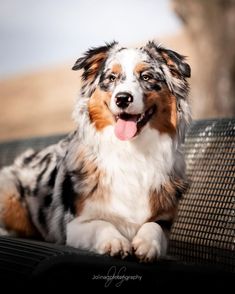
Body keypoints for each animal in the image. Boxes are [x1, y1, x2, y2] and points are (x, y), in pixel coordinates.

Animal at [0, 40, 191, 262]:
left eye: (146, 77)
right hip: (9, 192)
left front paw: (147, 244)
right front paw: (115, 242)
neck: (131, 151)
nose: (122, 98)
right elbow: (102, 224)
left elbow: (154, 227)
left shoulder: (165, 220)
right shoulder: (74, 225)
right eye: (111, 77)